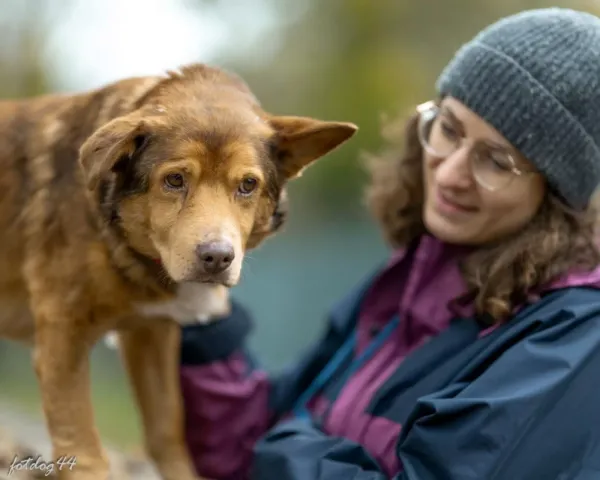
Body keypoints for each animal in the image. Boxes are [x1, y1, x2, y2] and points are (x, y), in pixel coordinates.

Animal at [0, 64, 356, 480]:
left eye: (247, 185)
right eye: (174, 180)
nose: (217, 257)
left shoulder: (153, 333)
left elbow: (166, 427)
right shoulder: (63, 336)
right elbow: (82, 444)